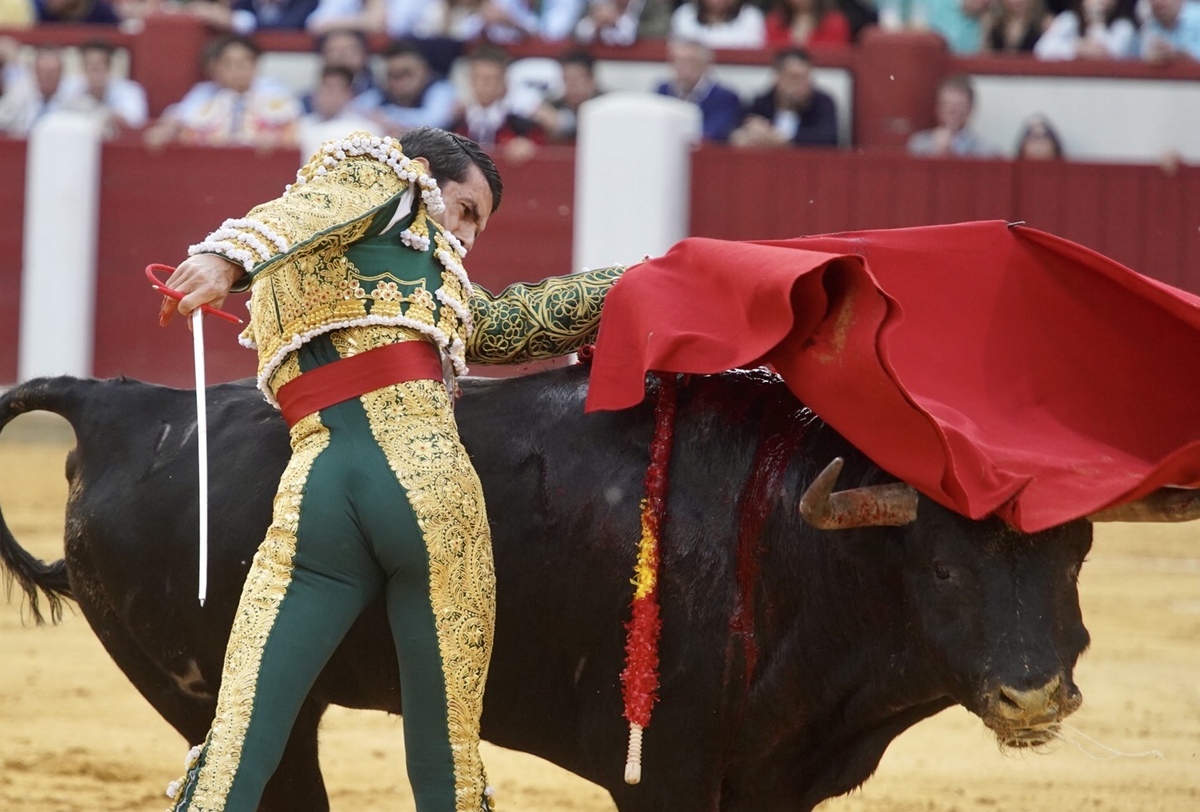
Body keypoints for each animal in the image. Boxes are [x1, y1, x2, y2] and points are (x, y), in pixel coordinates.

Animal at [0, 364, 1176, 810]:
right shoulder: (665, 776)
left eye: (1074, 555)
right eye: (939, 564)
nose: (1033, 695)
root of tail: (124, 401)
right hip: (225, 696)